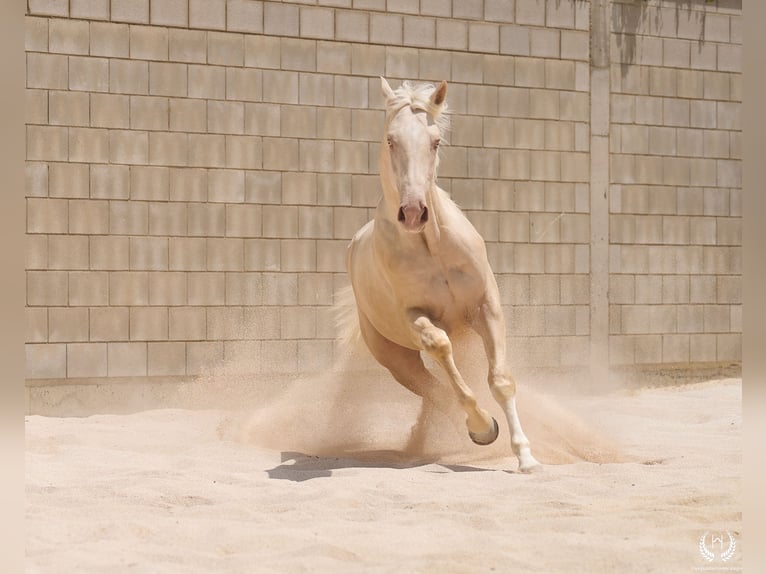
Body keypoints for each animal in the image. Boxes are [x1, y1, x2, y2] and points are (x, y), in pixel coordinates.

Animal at [344, 78, 540, 472]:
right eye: (391, 139)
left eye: (434, 141)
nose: (413, 212)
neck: (431, 245)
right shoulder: (416, 318)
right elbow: (439, 347)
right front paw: (483, 427)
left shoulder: (486, 307)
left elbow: (500, 380)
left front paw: (526, 456)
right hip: (396, 359)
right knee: (434, 390)